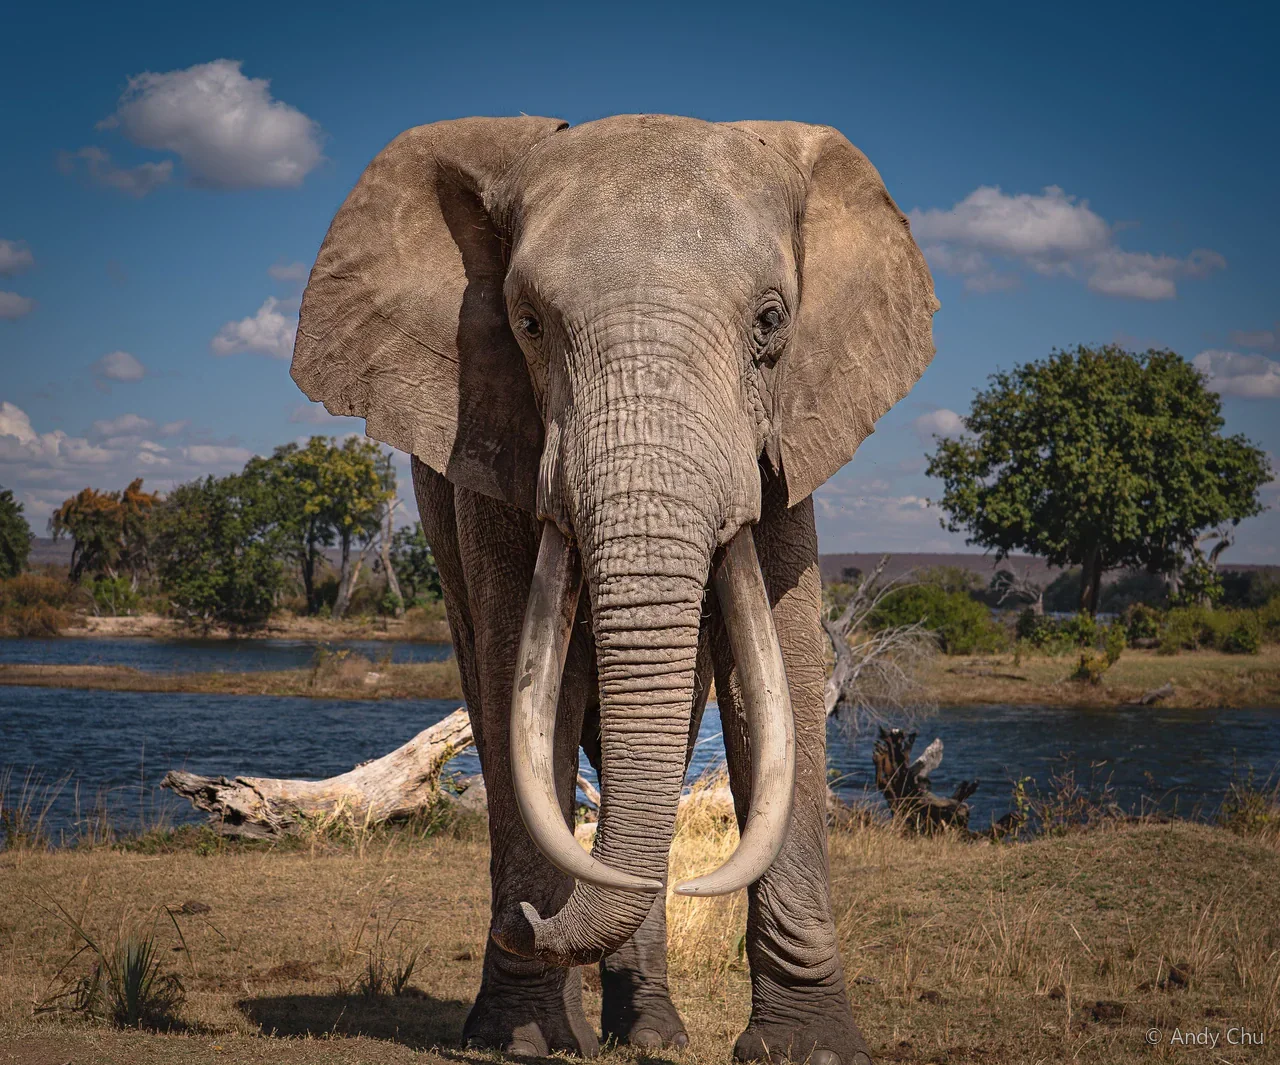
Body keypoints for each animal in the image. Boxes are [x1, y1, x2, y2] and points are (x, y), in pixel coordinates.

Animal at [291, 114, 937, 1065]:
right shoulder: (491, 444)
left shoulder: (793, 438)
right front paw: (519, 1039)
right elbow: (528, 690)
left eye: (772, 321)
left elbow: (781, 675)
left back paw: (653, 1035)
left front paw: (810, 1049)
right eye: (526, 323)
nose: (522, 918)